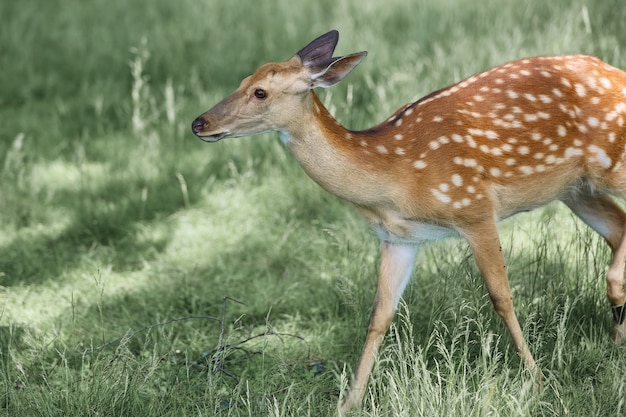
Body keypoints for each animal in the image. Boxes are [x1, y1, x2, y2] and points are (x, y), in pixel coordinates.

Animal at [190, 30, 624, 412]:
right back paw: (617, 333)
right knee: (619, 228)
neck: (392, 180)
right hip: (575, 189)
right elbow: (379, 315)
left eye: (260, 92)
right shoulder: (398, 238)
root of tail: (613, 70)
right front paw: (349, 403)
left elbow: (501, 297)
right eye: (243, 80)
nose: (200, 123)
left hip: (609, 165)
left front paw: (537, 381)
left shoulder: (474, 208)